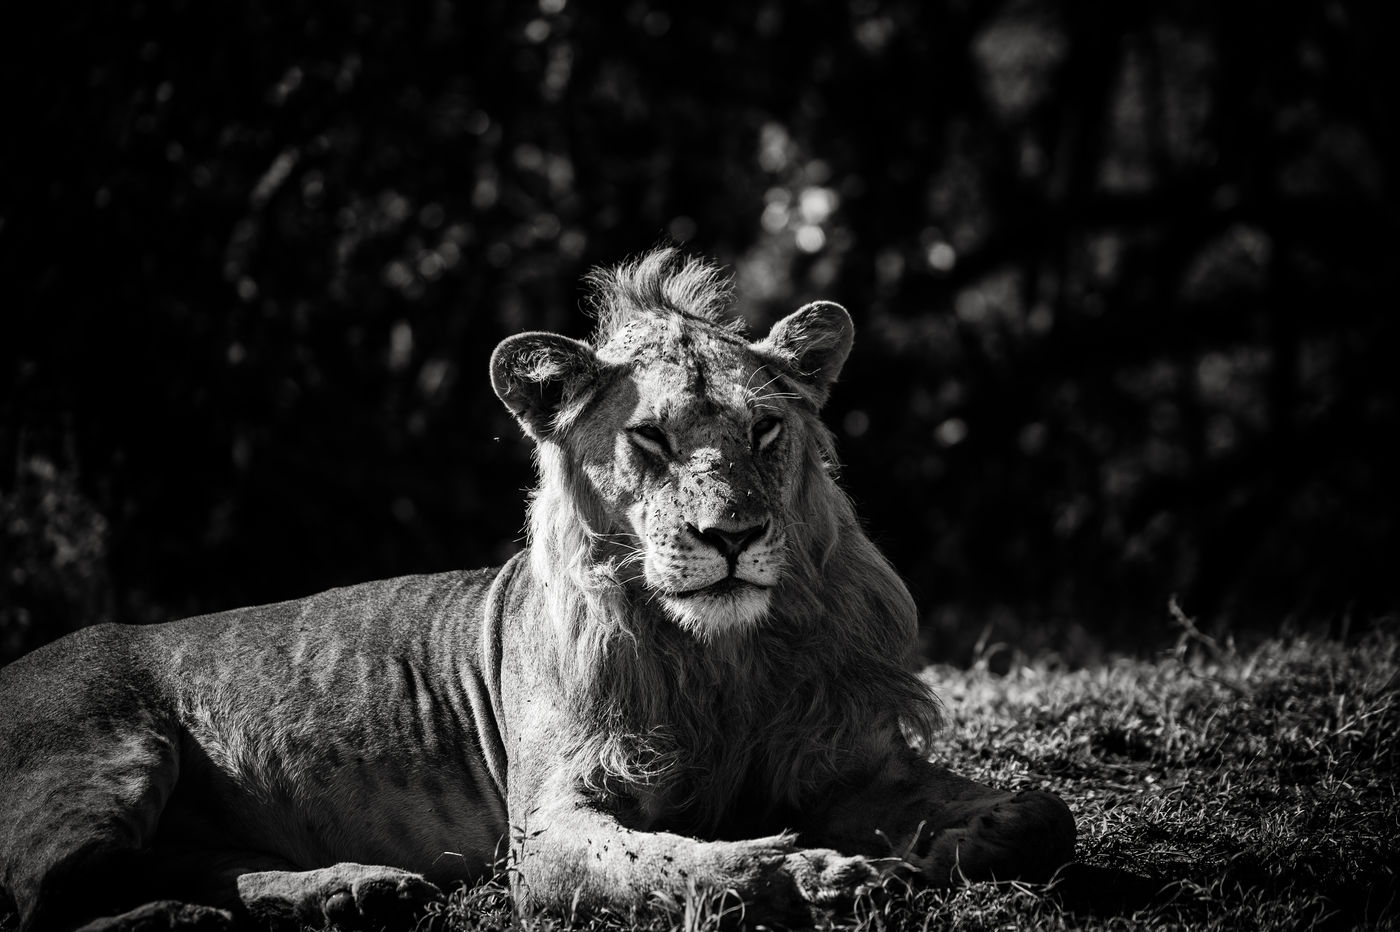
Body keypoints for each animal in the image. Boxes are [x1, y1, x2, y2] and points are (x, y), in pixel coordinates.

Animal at [0, 249, 1075, 932]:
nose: (730, 536)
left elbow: (1046, 814)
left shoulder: (843, 762)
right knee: (44, 899)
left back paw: (352, 892)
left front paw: (944, 848)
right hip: (113, 755)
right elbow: (691, 861)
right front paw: (820, 876)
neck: (723, 658)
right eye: (651, 439)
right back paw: (188, 918)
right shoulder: (546, 830)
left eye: (766, 431)